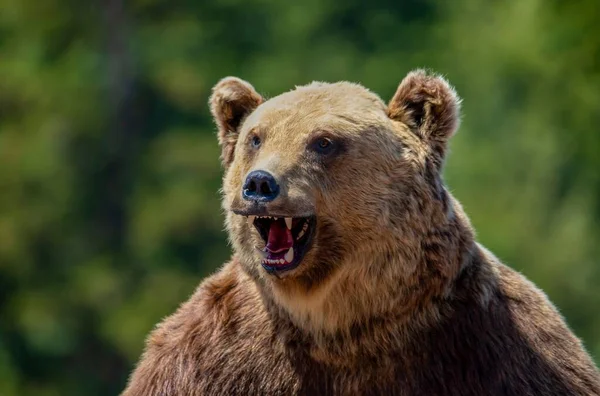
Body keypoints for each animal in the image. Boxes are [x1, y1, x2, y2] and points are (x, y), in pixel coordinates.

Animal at [123, 71, 600, 396]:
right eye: (255, 139)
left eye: (323, 142)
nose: (259, 184)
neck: (341, 321)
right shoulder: (217, 354)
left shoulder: (490, 343)